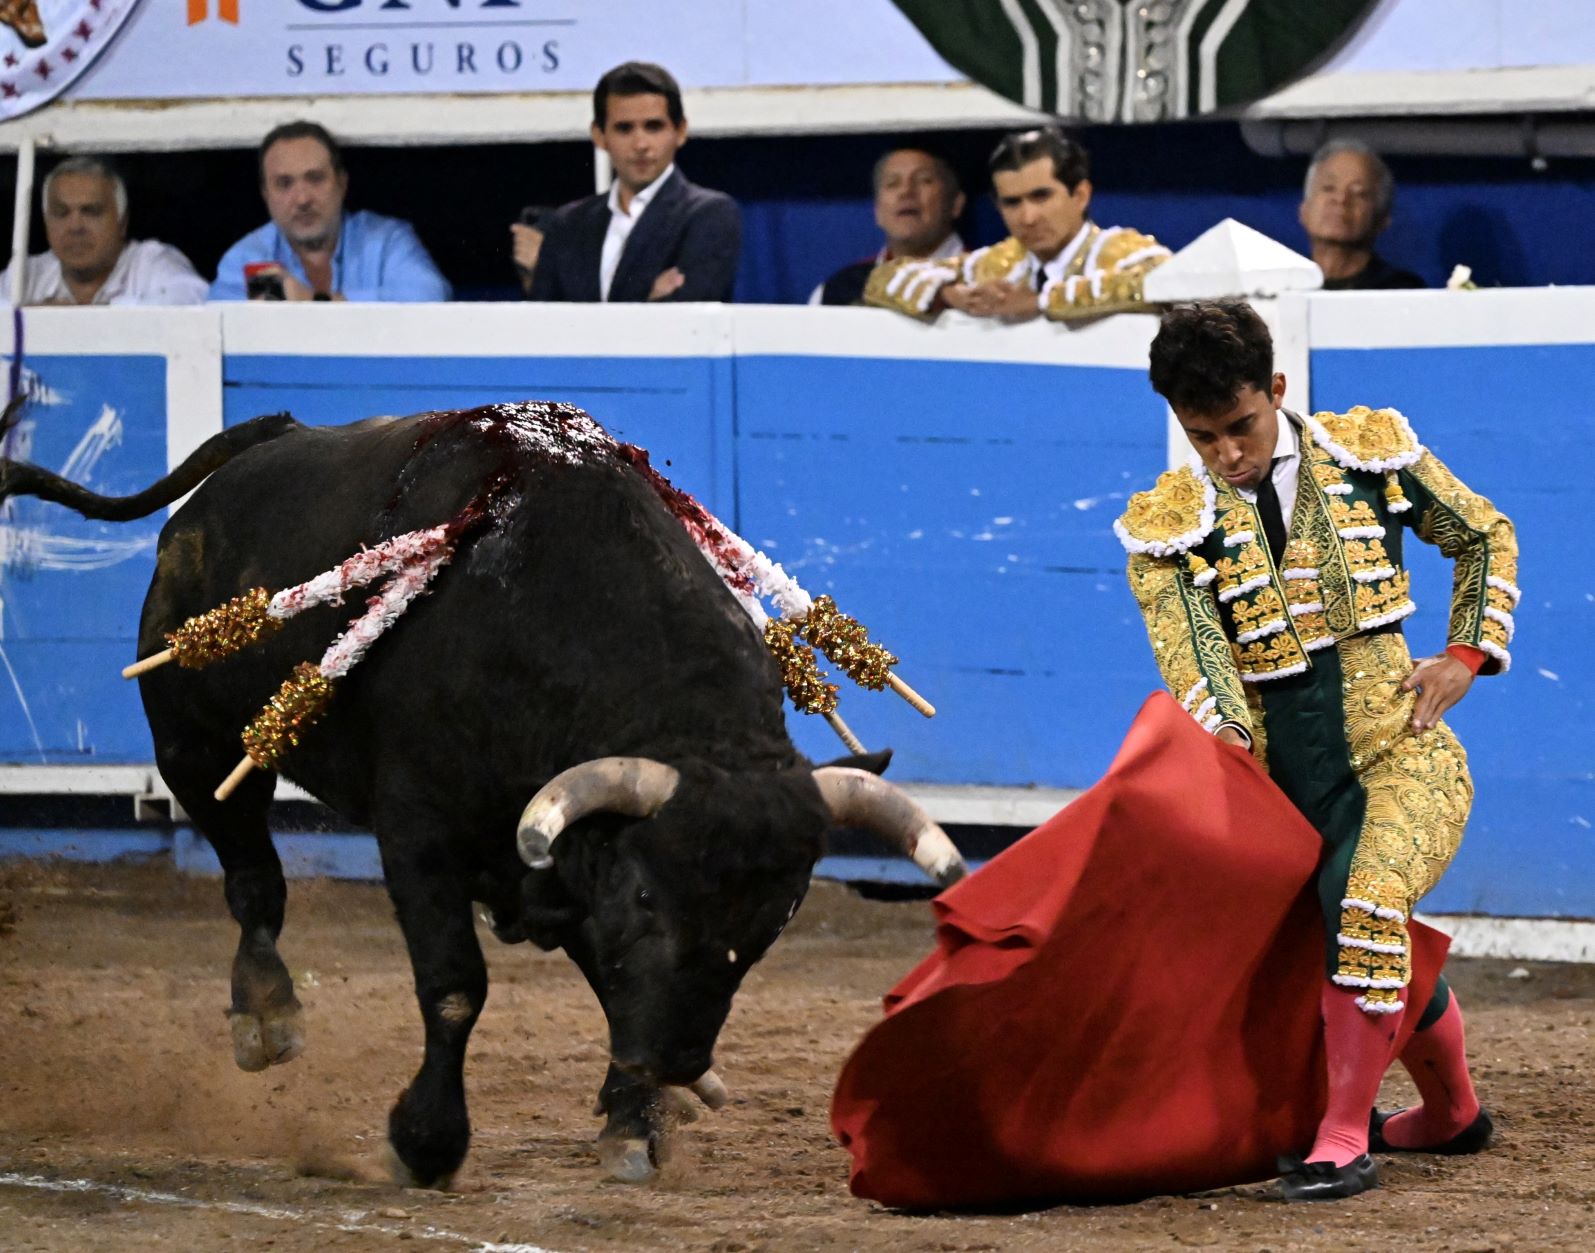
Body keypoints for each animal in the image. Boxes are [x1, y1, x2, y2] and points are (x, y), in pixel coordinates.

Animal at [0, 400, 966, 1186]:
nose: (673, 1059)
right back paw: (266, 1014)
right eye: (647, 896)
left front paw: (633, 1124)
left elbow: (610, 982)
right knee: (252, 878)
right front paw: (424, 1143)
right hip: (193, 746)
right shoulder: (418, 835)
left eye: (774, 922)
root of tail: (266, 445)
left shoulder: (563, 864)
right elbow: (455, 986)